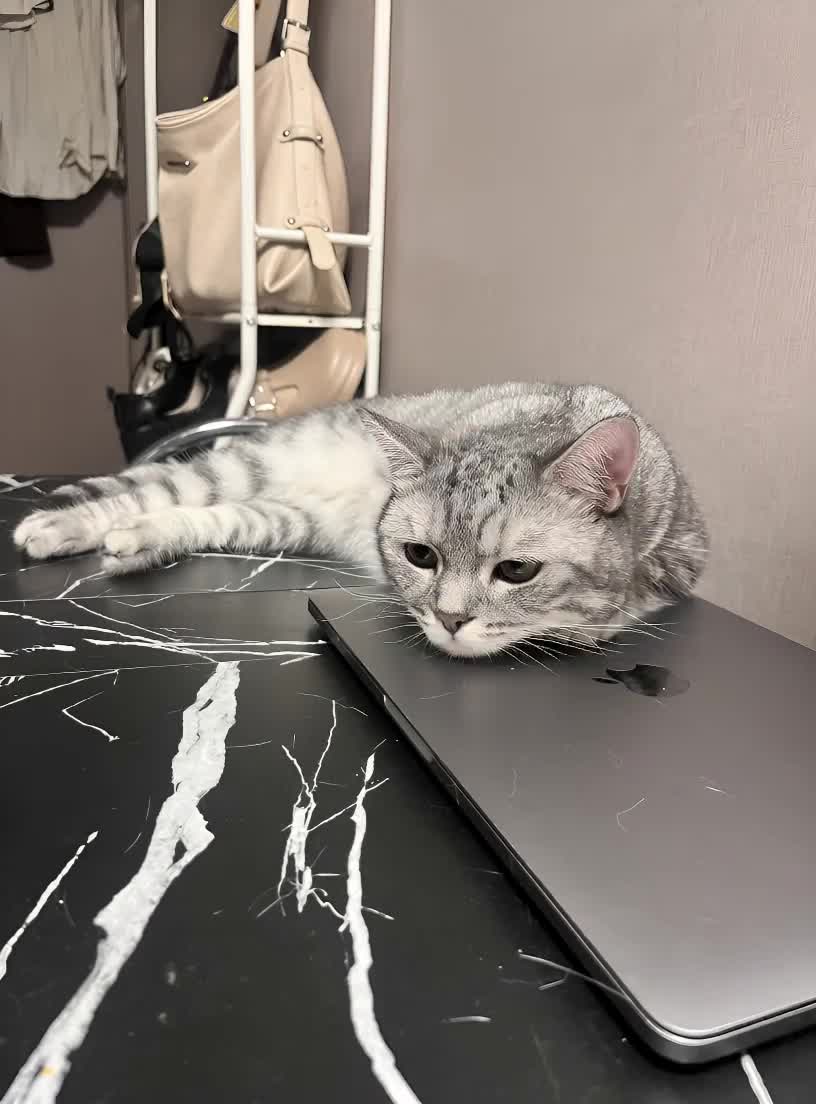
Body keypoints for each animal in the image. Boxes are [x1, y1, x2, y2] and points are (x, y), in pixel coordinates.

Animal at [13, 382, 708, 658]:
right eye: (420, 555)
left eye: (516, 570)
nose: (450, 620)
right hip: (237, 472)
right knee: (146, 491)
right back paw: (55, 526)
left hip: (273, 517)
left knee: (188, 516)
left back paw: (129, 543)